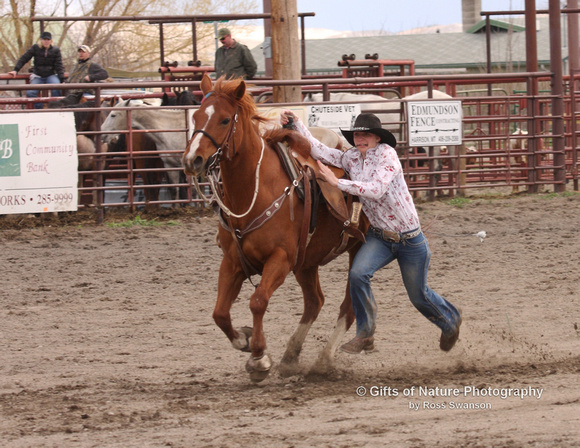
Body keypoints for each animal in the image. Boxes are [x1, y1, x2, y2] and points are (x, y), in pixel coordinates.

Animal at [184, 75, 368, 384]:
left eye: (224, 120)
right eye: (196, 116)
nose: (192, 160)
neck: (255, 191)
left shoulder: (280, 259)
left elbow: (258, 301)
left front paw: (259, 358)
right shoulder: (232, 261)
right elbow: (219, 312)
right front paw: (244, 340)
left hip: (358, 249)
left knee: (348, 306)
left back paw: (324, 360)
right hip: (307, 261)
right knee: (314, 302)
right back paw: (290, 356)